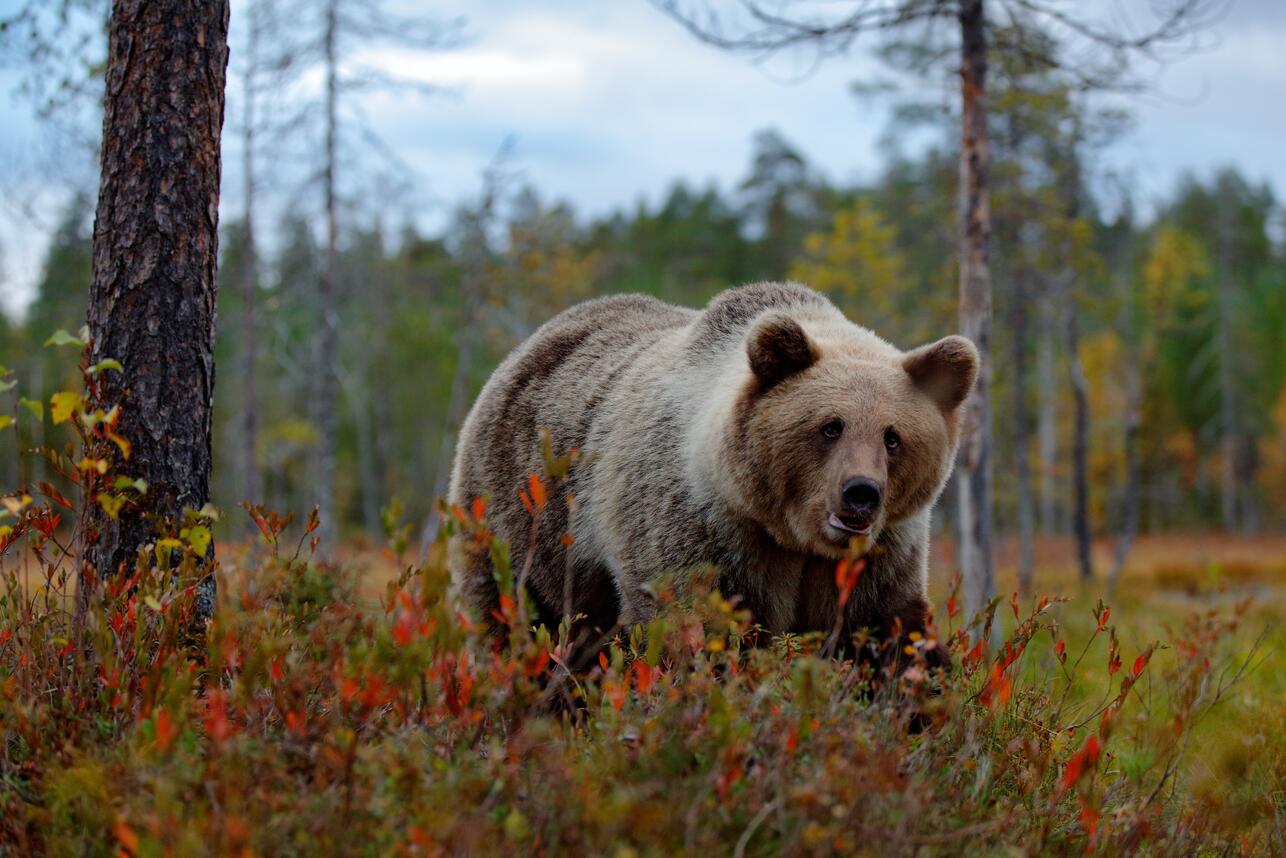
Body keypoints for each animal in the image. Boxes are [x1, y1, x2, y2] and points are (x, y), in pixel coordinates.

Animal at [447, 281, 977, 658]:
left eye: (893, 436)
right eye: (831, 426)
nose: (860, 493)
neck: (794, 539)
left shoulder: (882, 558)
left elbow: (894, 635)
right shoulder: (702, 531)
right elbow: (697, 626)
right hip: (519, 517)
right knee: (515, 617)